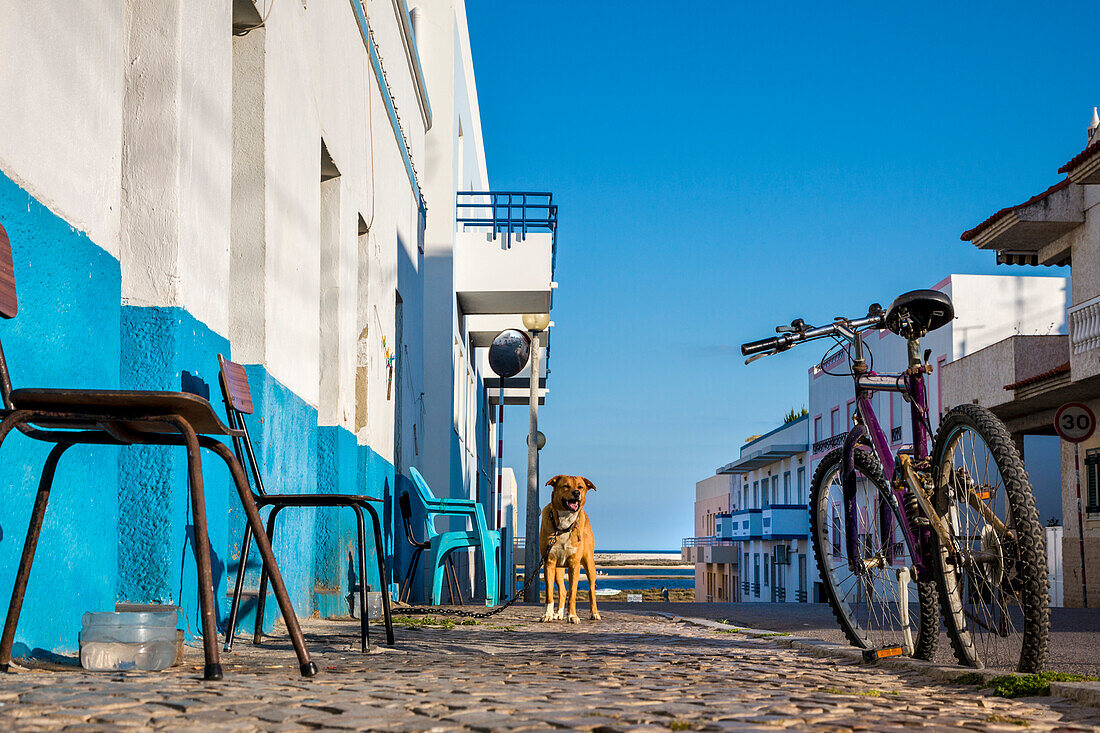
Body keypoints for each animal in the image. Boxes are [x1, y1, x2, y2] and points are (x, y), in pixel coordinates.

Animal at [534, 473, 598, 620]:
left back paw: (594, 613)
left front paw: (573, 616)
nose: (576, 493)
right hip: (558, 569)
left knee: (591, 588)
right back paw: (558, 614)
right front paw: (548, 614)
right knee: (562, 591)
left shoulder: (574, 564)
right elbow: (549, 593)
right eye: (566, 486)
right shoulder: (549, 562)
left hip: (589, 562)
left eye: (580, 487)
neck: (563, 526)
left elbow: (573, 593)